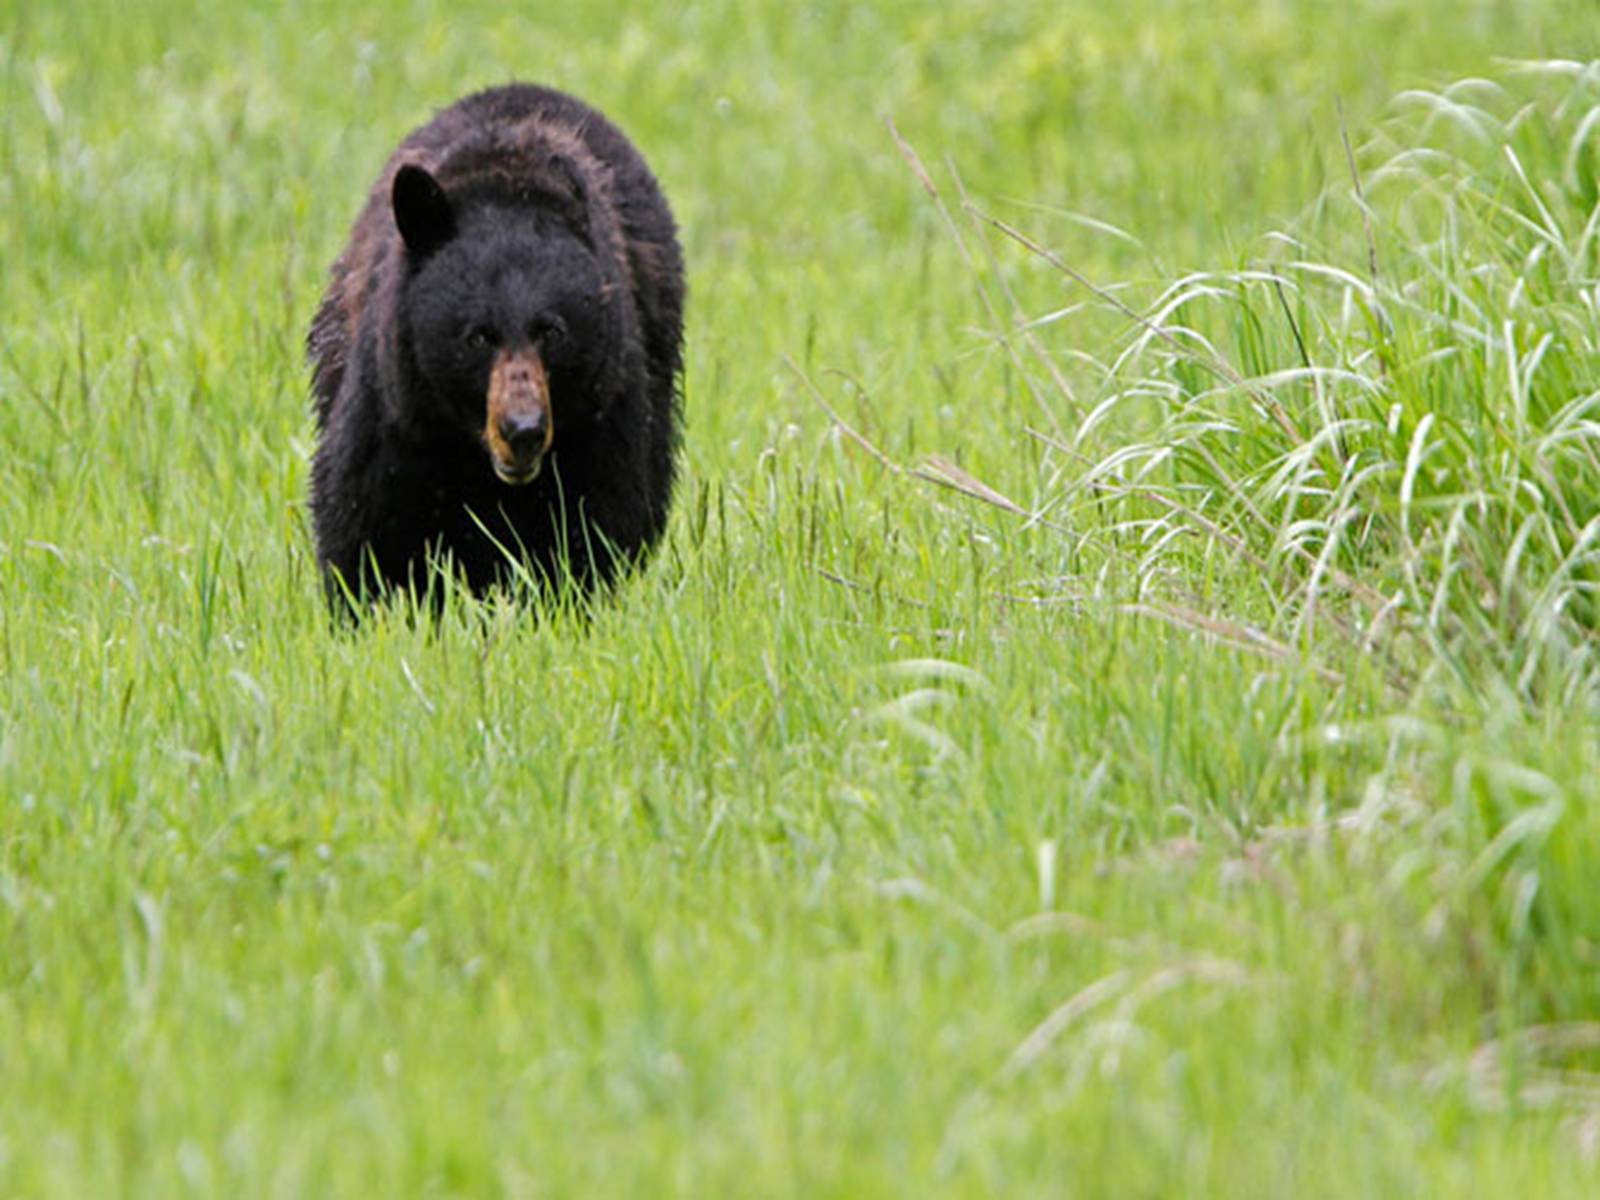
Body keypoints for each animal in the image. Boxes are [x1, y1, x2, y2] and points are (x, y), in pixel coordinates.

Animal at [308, 82, 684, 611]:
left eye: (551, 330)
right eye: (477, 336)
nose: (523, 429)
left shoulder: (604, 412)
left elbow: (595, 526)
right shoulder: (396, 406)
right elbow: (364, 523)